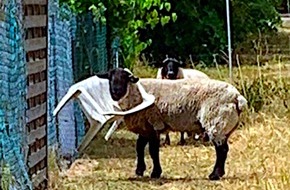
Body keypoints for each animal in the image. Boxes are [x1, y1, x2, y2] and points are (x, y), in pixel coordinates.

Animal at [97, 67, 247, 180]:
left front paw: (155, 173)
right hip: (224, 126)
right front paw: (140, 170)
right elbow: (139, 147)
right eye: (110, 78)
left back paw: (215, 175)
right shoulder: (145, 127)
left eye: (124, 78)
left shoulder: (154, 124)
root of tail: (237, 97)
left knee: (221, 150)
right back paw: (219, 173)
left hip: (216, 122)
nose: (115, 92)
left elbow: (153, 150)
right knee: (223, 149)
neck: (136, 94)